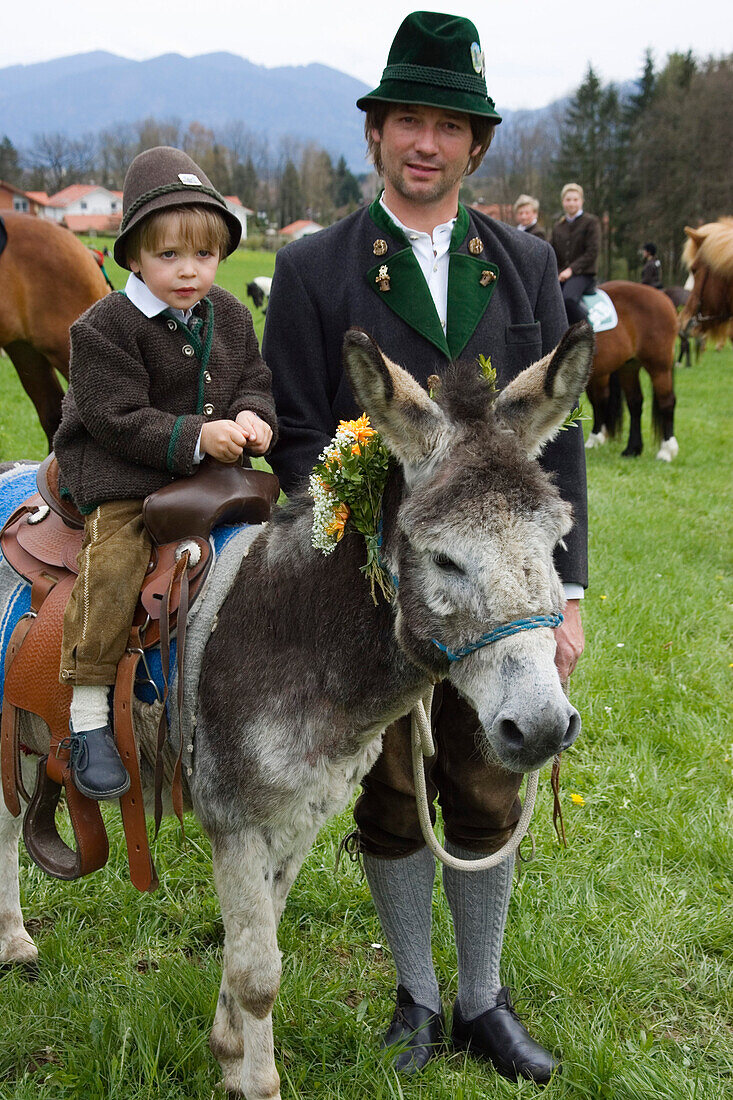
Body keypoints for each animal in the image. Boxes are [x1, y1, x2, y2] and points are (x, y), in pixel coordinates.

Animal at [581, 281, 677, 462]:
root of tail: (661, 296)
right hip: (628, 367)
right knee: (634, 403)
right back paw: (632, 448)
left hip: (659, 367)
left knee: (667, 402)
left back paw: (667, 450)